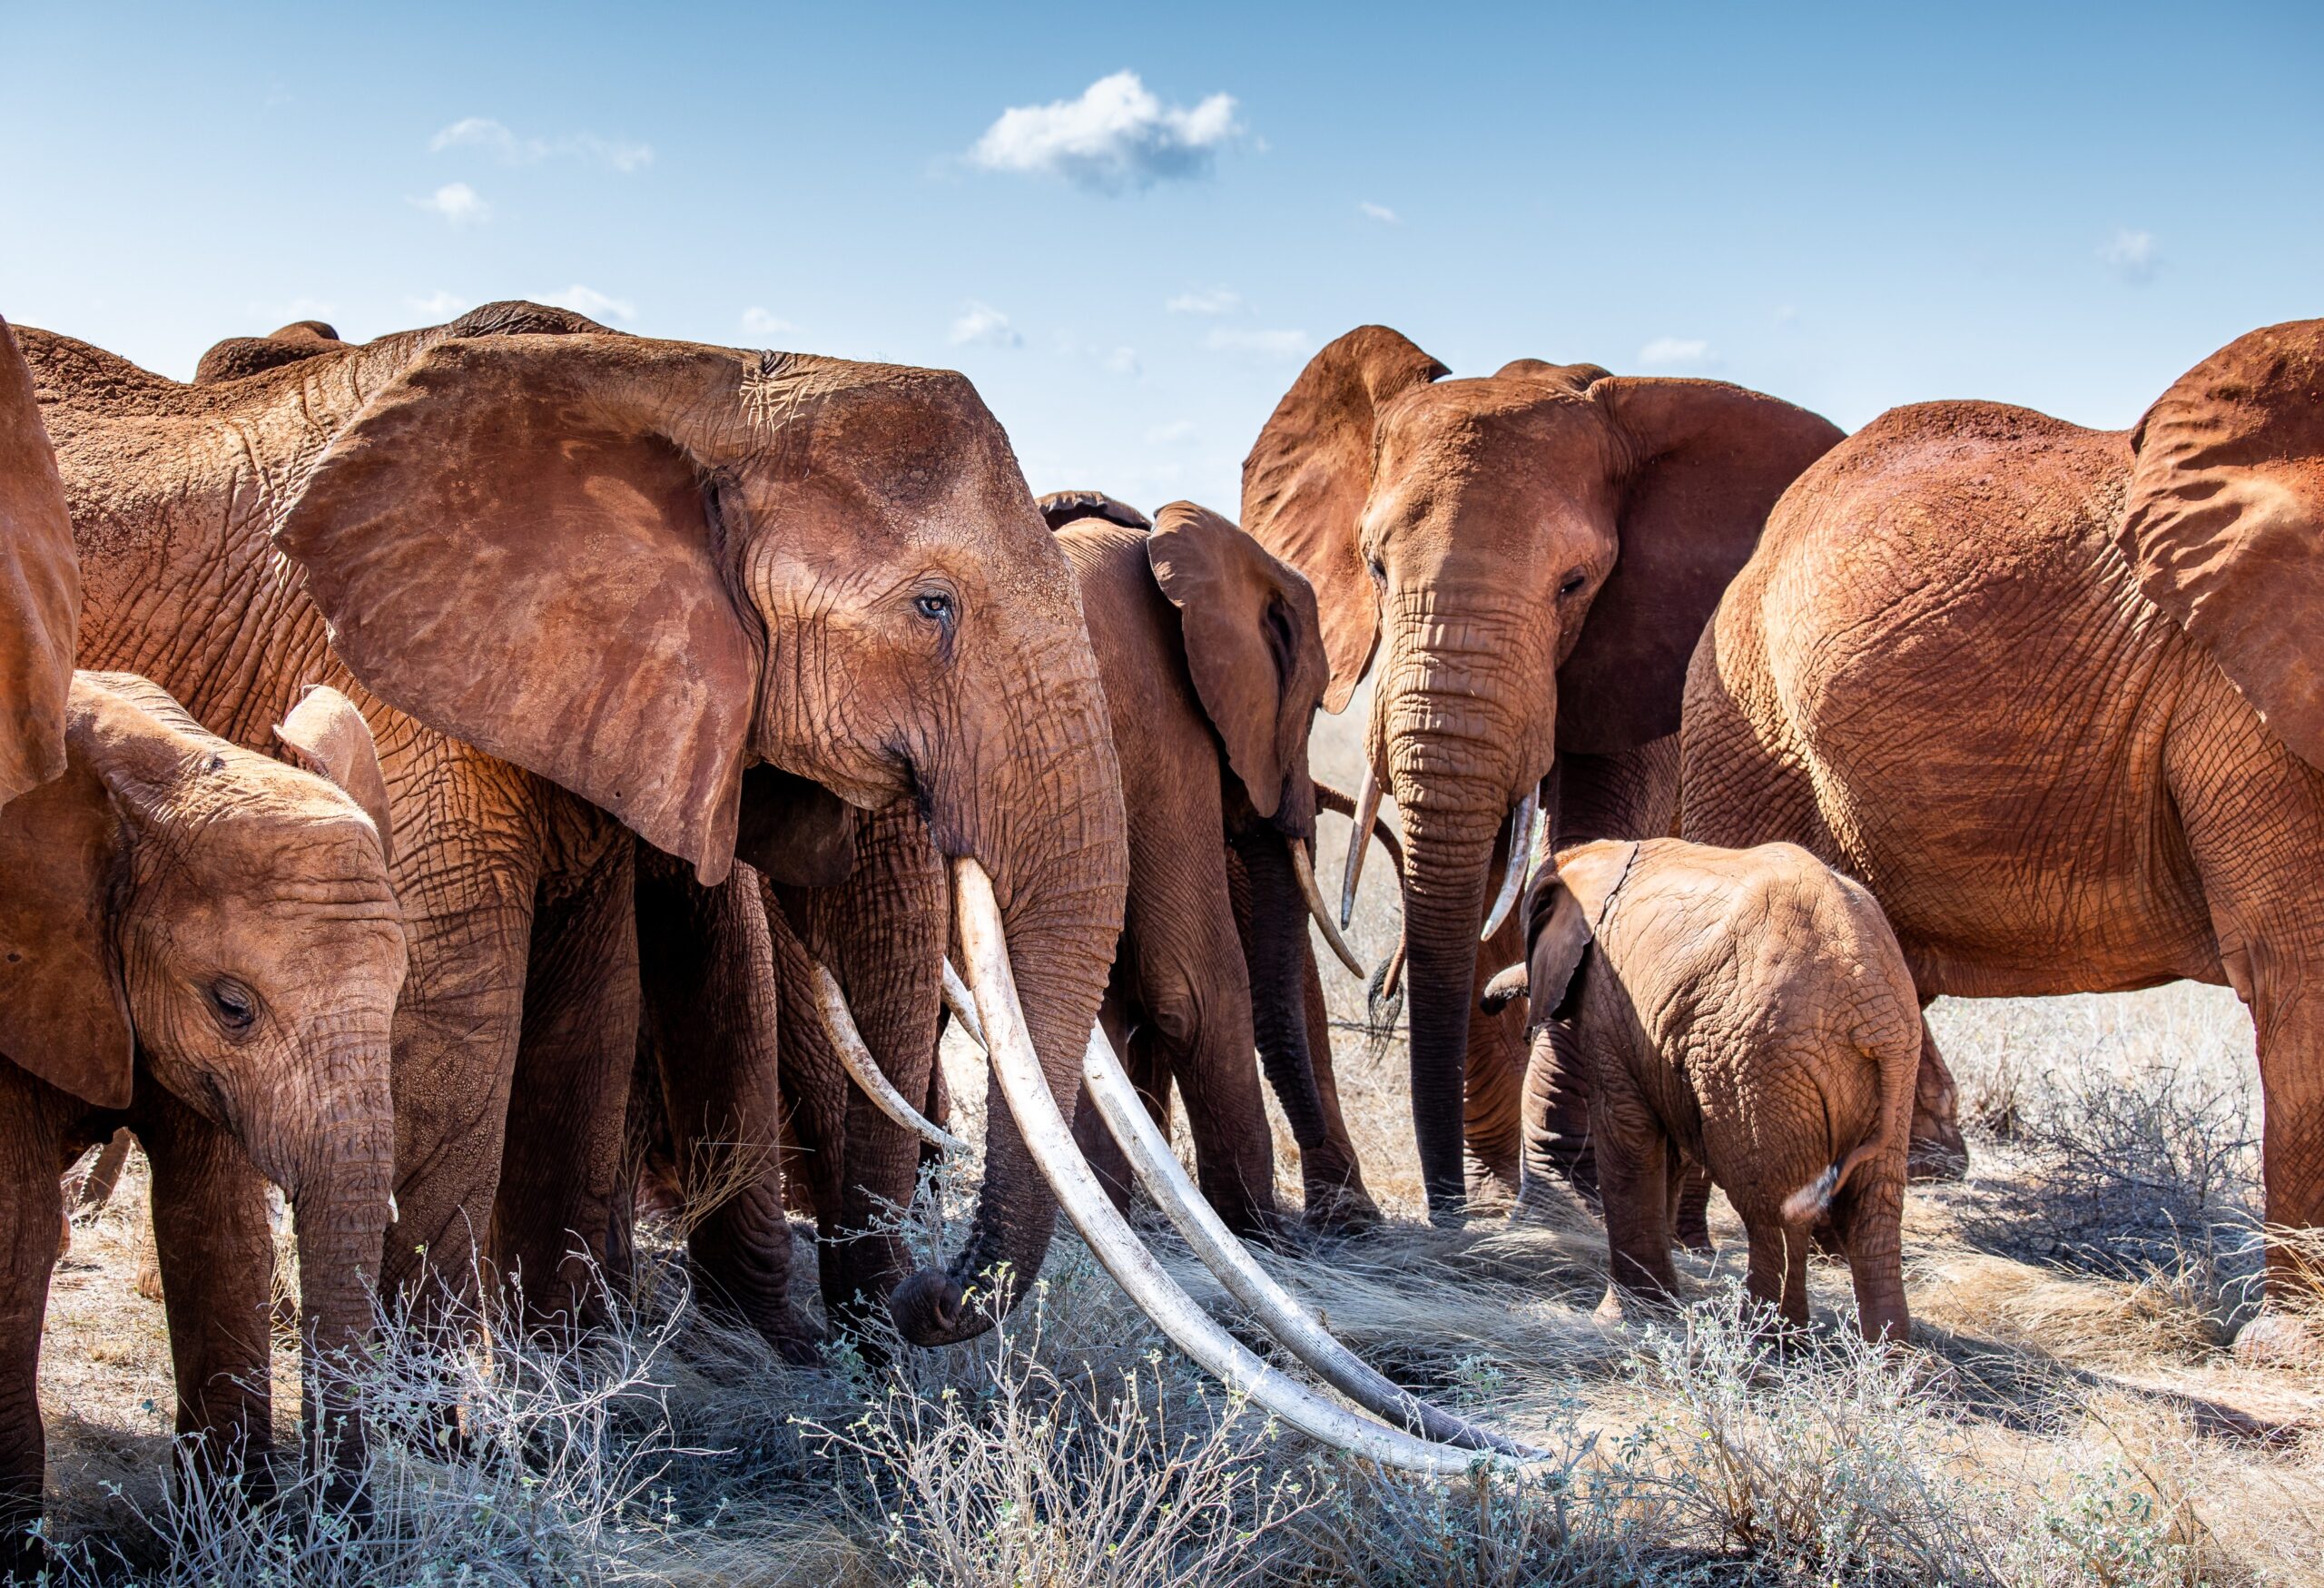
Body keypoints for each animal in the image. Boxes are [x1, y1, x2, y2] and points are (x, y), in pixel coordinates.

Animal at [23, 300, 1131, 1357]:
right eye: (931, 607)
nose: (923, 1299)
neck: (698, 379)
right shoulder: (397, 686)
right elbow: (458, 1017)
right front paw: (439, 1408)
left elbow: (588, 1012)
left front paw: (571, 1382)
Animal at [1241, 327, 1847, 1221]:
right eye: (1375, 567)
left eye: (1575, 584)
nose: (1444, 1212)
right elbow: (1483, 880)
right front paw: (1498, 1194)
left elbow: (1591, 854)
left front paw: (1560, 1193)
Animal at [1525, 839, 1916, 1341]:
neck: (1603, 855)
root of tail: (1868, 1003)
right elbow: (1668, 1153)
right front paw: (1658, 1311)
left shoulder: (1608, 1001)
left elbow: (1628, 1134)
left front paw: (1622, 1321)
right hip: (1892, 1068)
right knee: (1874, 1210)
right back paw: (1889, 1356)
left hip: (1755, 1062)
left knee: (1772, 1208)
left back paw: (1764, 1342)